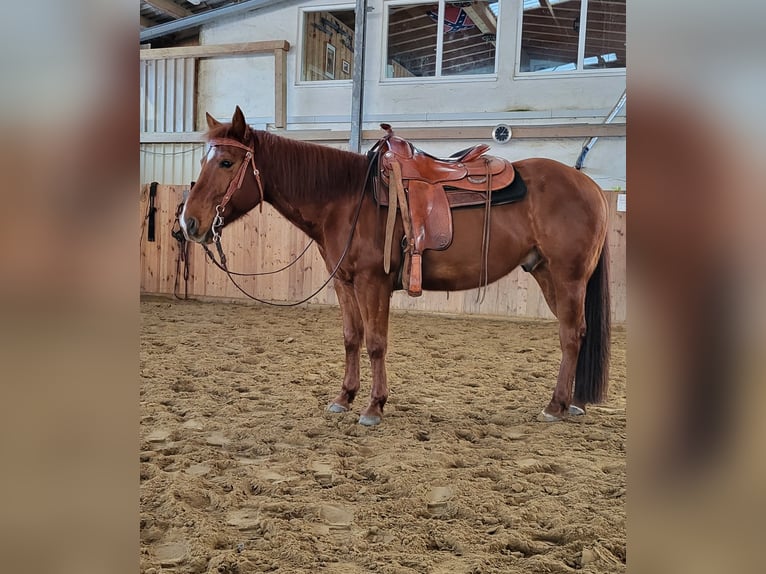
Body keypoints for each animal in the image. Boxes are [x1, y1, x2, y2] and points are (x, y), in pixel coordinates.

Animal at [182, 108, 612, 426]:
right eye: (204, 160)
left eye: (226, 162)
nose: (188, 223)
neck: (344, 198)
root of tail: (590, 187)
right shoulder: (345, 282)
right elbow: (352, 338)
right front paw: (344, 397)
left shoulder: (373, 283)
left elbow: (376, 342)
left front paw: (374, 406)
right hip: (545, 273)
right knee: (575, 332)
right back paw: (572, 403)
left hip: (568, 277)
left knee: (571, 335)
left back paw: (555, 406)